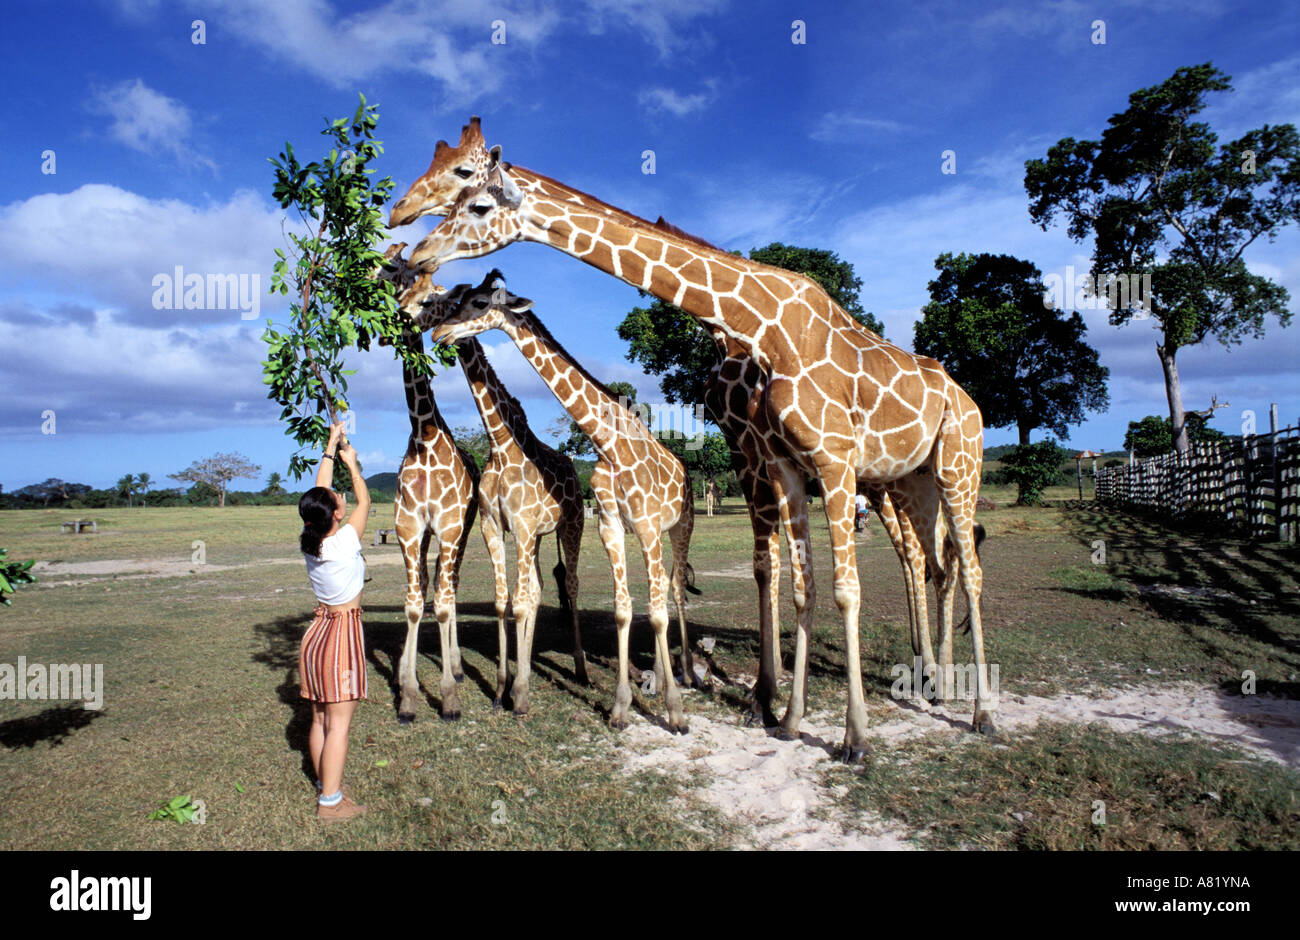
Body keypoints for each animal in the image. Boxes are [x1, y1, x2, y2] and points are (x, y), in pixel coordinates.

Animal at [413, 271, 702, 733]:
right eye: (454, 300)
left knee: (672, 592)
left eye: (478, 303)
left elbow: (654, 611)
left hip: (675, 524)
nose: (438, 332)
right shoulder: (606, 524)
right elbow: (619, 610)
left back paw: (685, 674)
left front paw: (674, 712)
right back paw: (657, 675)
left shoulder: (639, 522)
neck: (609, 445)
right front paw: (619, 707)